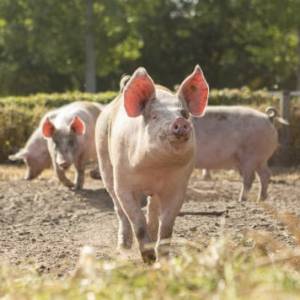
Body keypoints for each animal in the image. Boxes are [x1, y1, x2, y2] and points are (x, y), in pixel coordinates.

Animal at [96, 65, 209, 262]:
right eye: (155, 116)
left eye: (184, 113)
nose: (180, 122)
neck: (156, 169)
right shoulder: (124, 184)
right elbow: (137, 222)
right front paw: (149, 259)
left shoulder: (178, 187)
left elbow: (167, 227)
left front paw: (162, 260)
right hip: (105, 163)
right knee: (119, 209)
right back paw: (123, 247)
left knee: (152, 208)